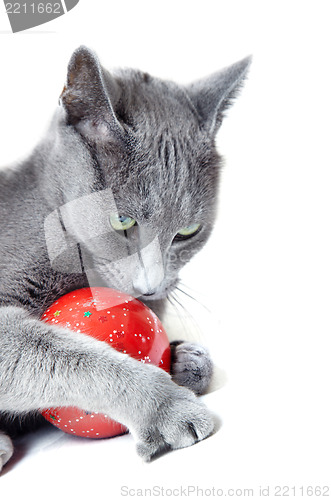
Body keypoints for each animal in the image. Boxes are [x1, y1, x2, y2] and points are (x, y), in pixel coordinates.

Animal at [0, 45, 250, 470]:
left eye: (188, 231)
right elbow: (71, 358)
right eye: (122, 220)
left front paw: (187, 360)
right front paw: (167, 407)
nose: (151, 286)